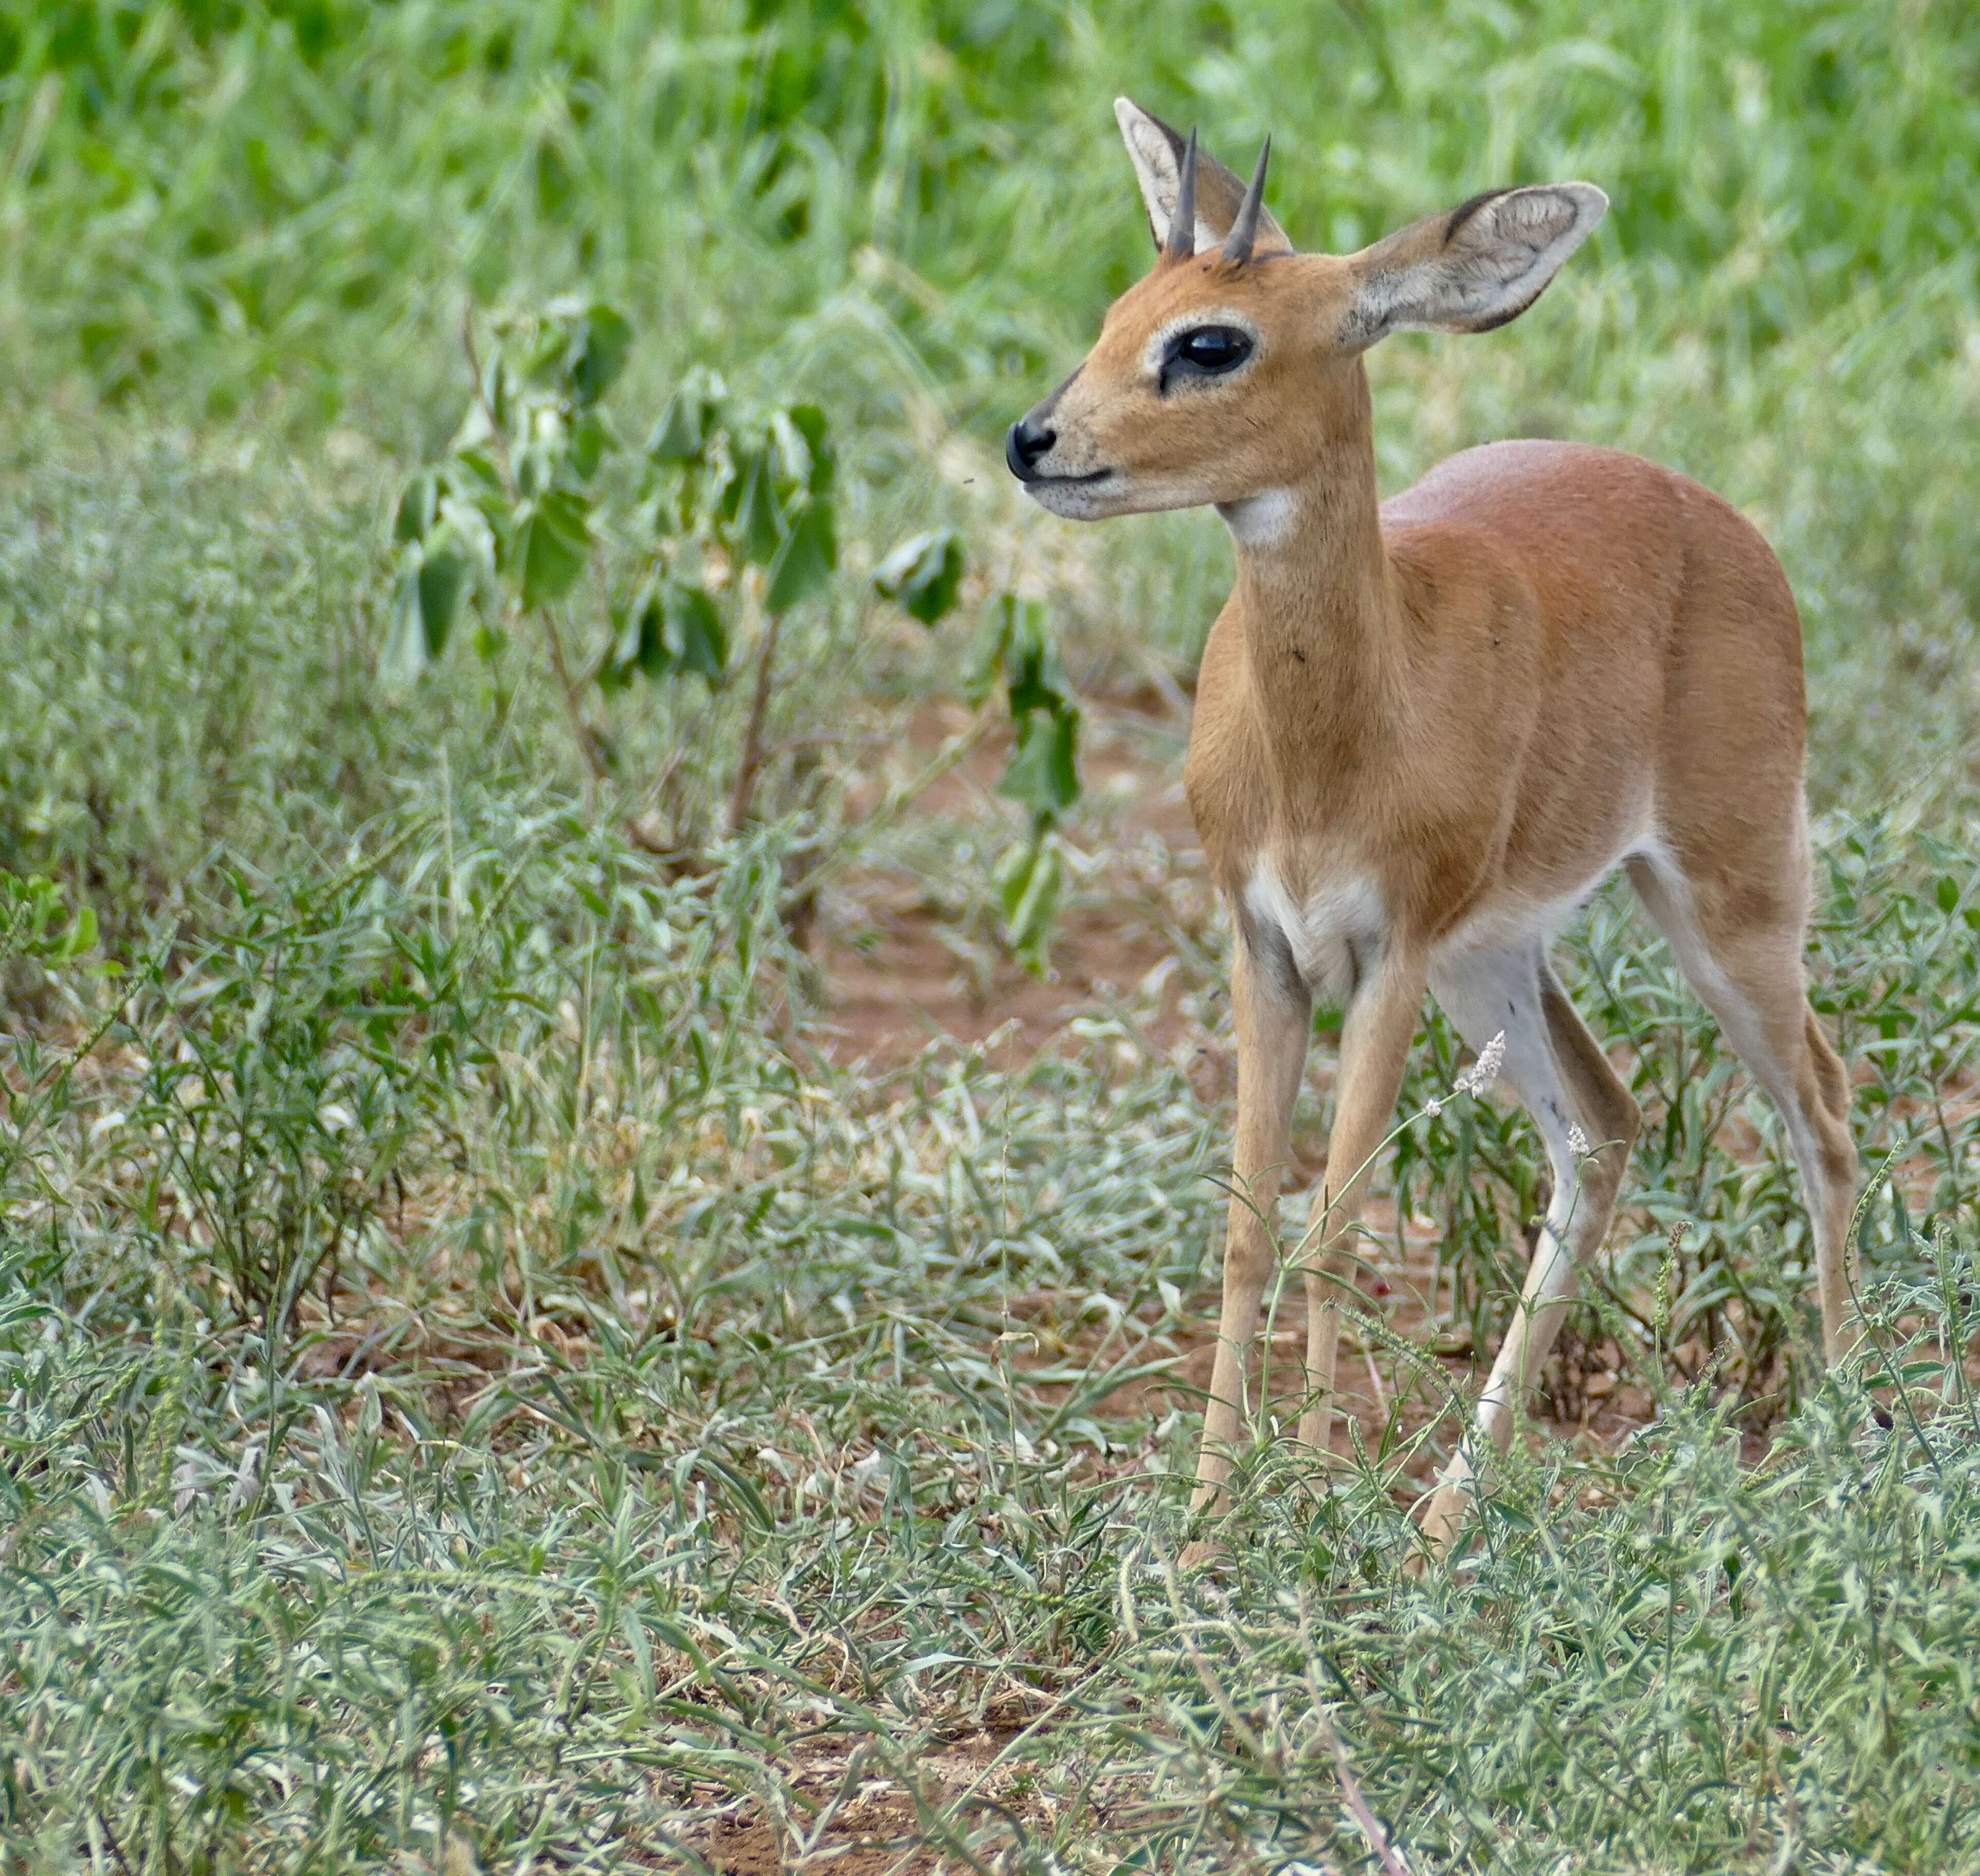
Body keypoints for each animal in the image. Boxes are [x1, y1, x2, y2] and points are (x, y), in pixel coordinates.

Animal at [1006, 99, 1853, 1553]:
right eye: (1120, 311)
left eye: (1210, 341)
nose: (1035, 441)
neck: (1334, 748)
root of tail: (1717, 518)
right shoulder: (1265, 949)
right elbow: (1248, 1227)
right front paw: (1207, 1521)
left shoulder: (1385, 957)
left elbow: (1335, 1225)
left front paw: (1301, 1504)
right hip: (1499, 959)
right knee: (1604, 1133)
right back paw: (1451, 1507)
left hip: (1727, 902)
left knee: (1823, 1116)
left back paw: (1861, 1433)